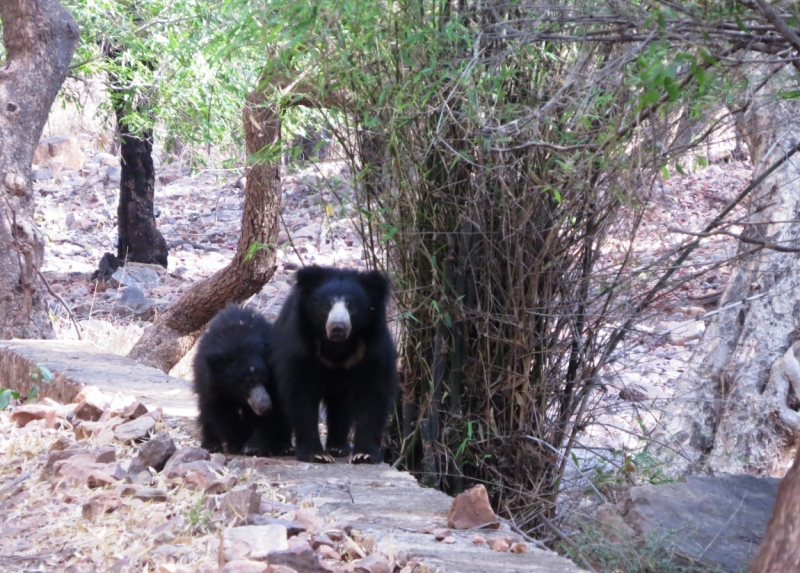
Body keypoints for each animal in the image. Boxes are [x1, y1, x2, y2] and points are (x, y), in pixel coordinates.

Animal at [192, 304, 292, 456]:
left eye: (265, 380)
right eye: (246, 384)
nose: (265, 408)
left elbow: (274, 412)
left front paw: (253, 447)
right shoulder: (211, 384)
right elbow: (221, 413)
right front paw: (237, 444)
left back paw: (284, 447)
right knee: (205, 411)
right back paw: (211, 444)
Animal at [274, 266, 398, 462]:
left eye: (351, 306)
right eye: (327, 305)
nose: (338, 327)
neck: (338, 346)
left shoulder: (372, 351)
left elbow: (374, 394)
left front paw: (364, 454)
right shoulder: (300, 350)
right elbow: (300, 395)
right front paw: (317, 455)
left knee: (341, 408)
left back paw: (338, 447)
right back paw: (284, 447)